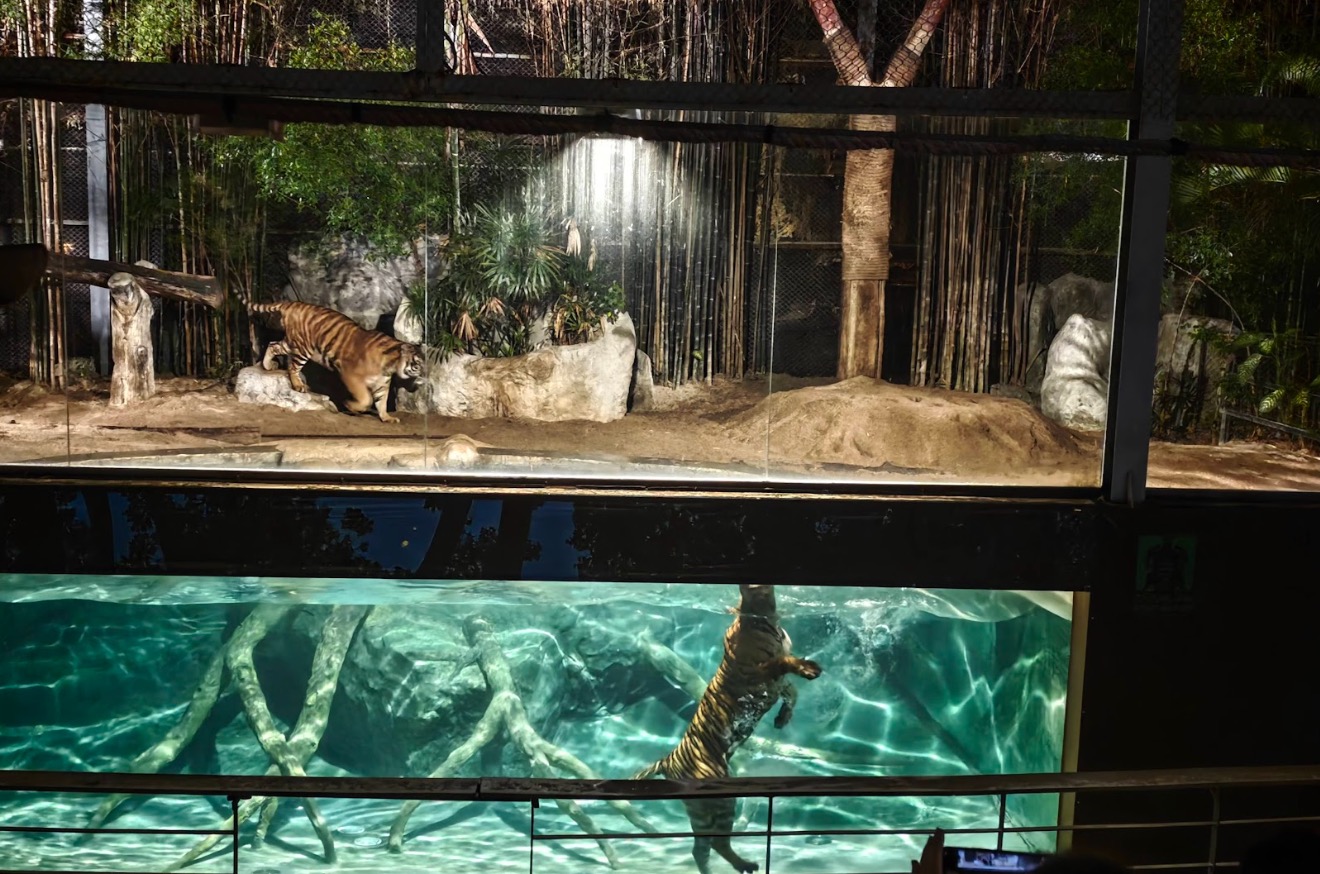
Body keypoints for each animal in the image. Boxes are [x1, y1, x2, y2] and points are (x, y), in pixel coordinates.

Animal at [249, 300, 424, 423]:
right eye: (417, 365)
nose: (424, 377)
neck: (391, 365)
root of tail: (293, 303)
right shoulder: (351, 375)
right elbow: (366, 399)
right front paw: (350, 406)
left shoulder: (382, 384)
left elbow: (381, 403)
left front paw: (387, 418)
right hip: (303, 347)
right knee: (292, 367)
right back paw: (298, 385)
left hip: (291, 343)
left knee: (272, 344)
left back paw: (267, 365)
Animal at [633, 584, 822, 874]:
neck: (765, 615)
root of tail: (668, 760)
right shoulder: (757, 673)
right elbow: (782, 663)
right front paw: (809, 668)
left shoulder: (776, 683)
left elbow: (792, 691)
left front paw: (783, 718)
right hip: (721, 801)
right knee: (717, 842)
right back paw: (746, 864)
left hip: (700, 810)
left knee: (701, 848)